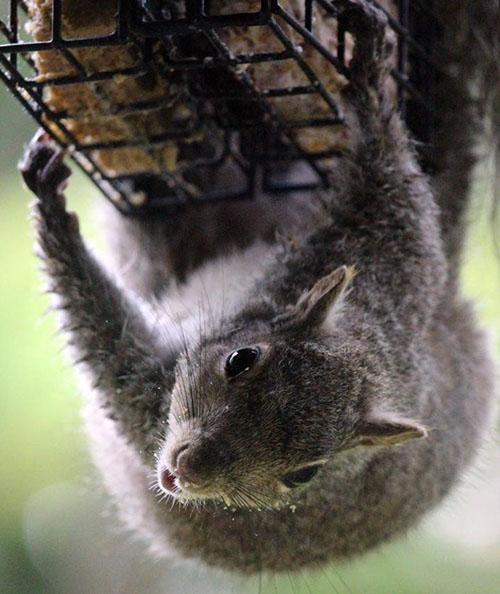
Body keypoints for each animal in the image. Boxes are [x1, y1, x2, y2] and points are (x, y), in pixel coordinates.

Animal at [18, 0, 496, 572]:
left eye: (304, 474)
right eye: (241, 360)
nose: (189, 472)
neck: (372, 343)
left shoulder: (149, 401)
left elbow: (108, 347)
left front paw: (54, 218)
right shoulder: (395, 258)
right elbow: (394, 176)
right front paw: (371, 71)